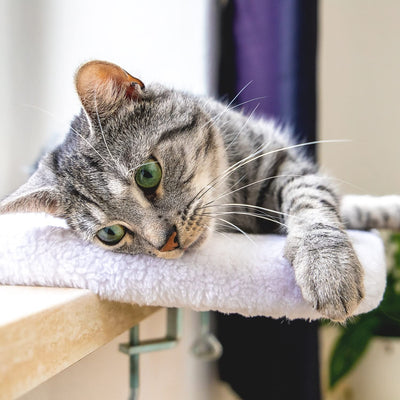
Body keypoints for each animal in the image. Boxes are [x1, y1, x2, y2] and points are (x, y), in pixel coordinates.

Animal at [1, 60, 398, 322]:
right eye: (110, 234)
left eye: (148, 175)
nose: (167, 242)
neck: (233, 203)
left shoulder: (285, 165)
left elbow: (315, 205)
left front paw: (328, 267)